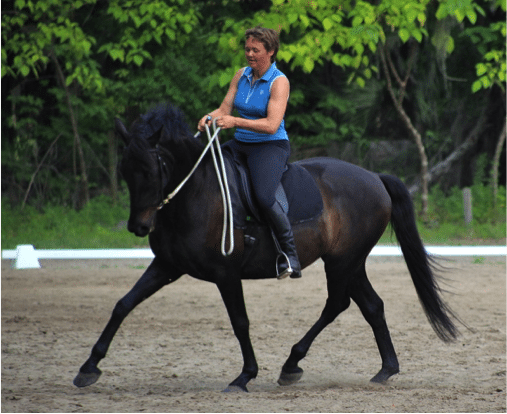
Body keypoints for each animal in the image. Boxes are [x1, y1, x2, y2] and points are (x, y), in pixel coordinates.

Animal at [74, 102, 460, 392]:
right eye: (125, 170)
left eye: (154, 168)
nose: (138, 227)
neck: (196, 194)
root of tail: (374, 178)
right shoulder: (167, 266)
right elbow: (123, 305)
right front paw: (88, 368)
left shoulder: (226, 273)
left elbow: (240, 321)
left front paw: (244, 376)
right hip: (350, 262)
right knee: (371, 306)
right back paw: (385, 369)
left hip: (342, 261)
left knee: (337, 304)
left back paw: (292, 364)